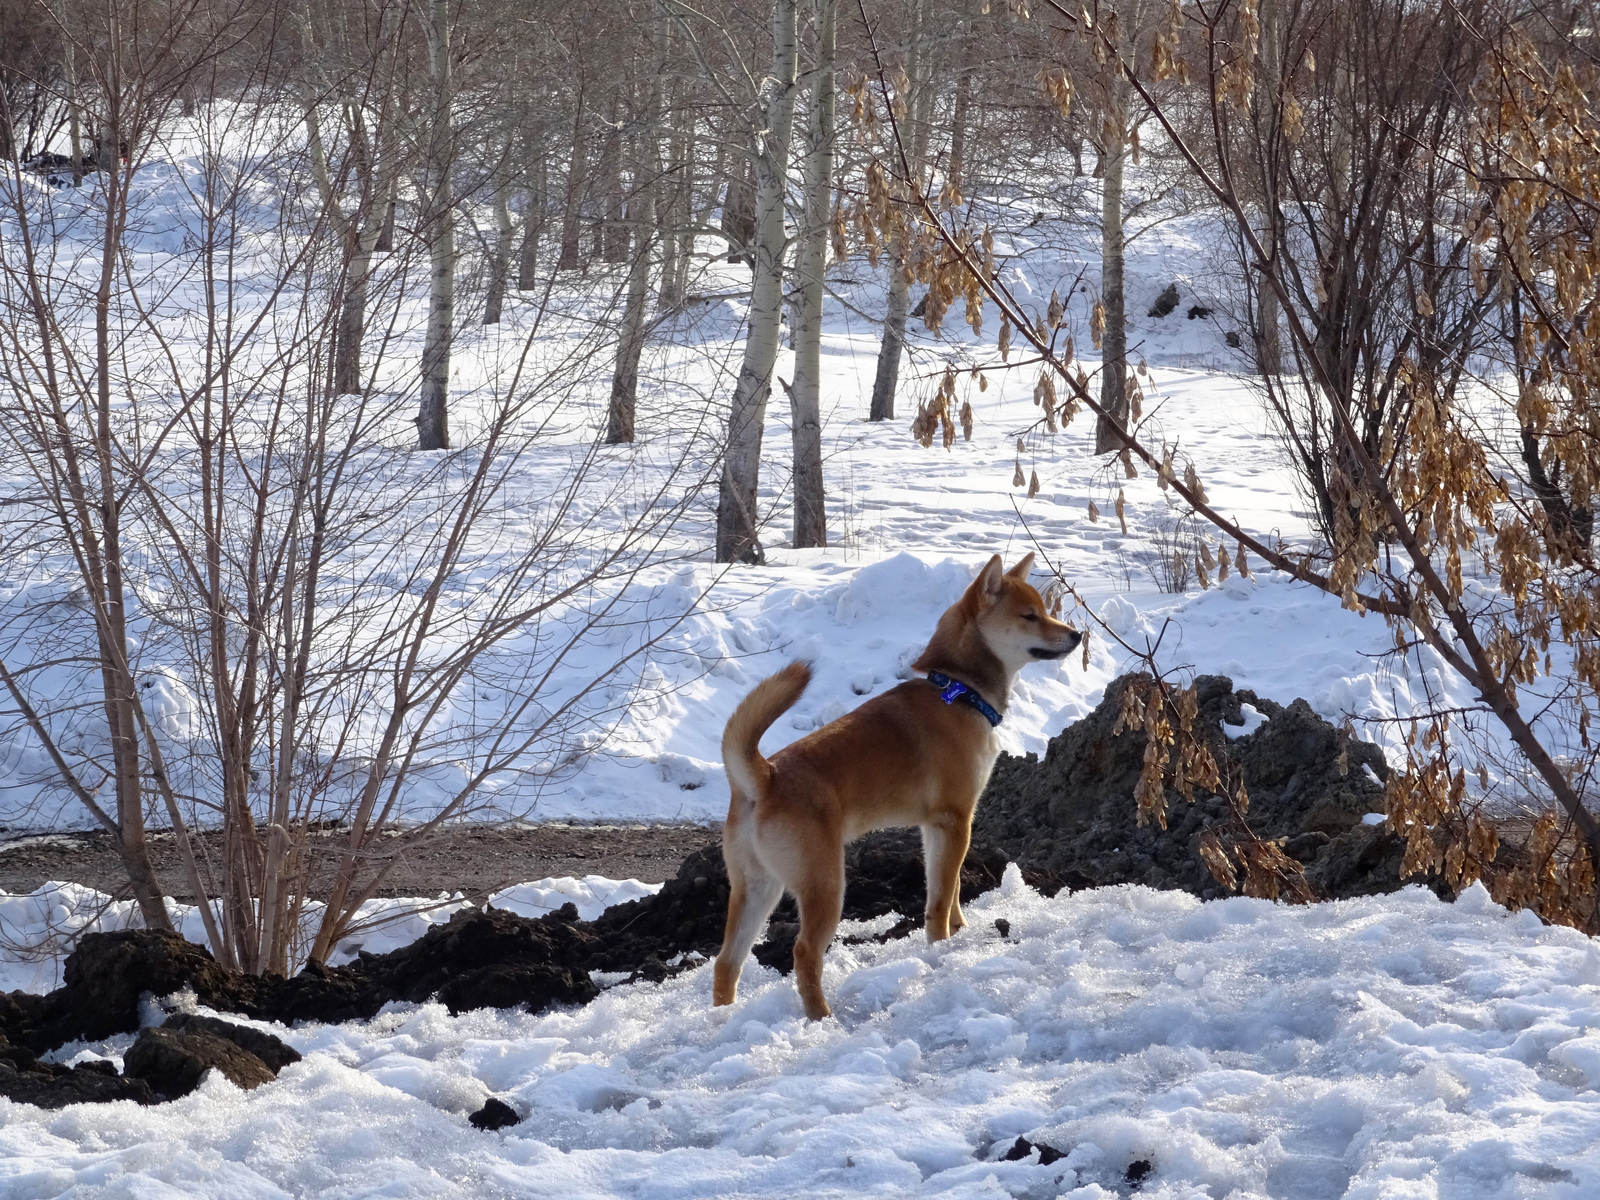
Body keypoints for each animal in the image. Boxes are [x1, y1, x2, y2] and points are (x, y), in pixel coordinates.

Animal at [716, 556, 1081, 1024]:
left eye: (1045, 611)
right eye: (1030, 616)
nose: (1076, 635)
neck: (959, 692)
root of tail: (764, 777)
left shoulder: (936, 829)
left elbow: (951, 889)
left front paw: (959, 932)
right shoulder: (954, 820)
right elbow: (940, 900)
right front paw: (942, 948)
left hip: (756, 888)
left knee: (727, 962)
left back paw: (720, 1021)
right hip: (825, 885)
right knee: (803, 953)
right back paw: (823, 1018)